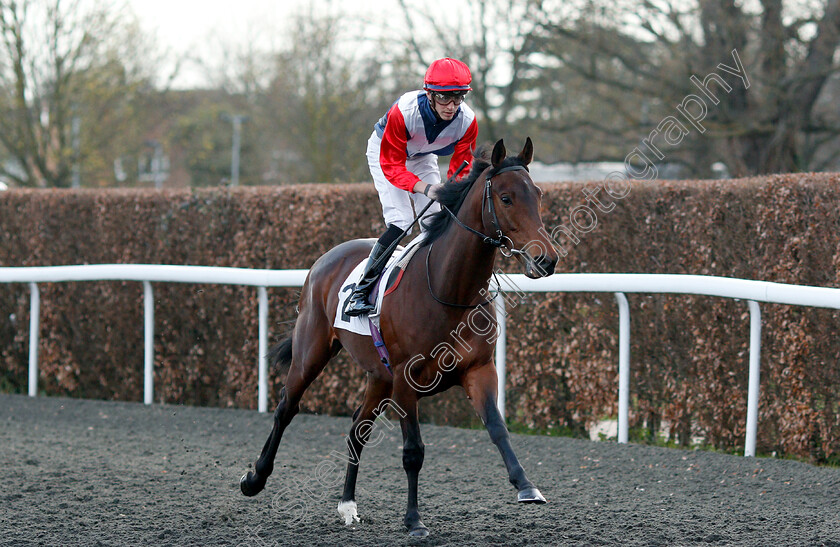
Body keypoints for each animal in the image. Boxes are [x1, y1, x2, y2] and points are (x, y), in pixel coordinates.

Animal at [240, 138, 560, 540]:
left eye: (538, 194)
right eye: (506, 198)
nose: (547, 259)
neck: (449, 289)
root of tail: (326, 258)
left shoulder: (479, 369)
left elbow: (498, 429)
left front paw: (526, 486)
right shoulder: (407, 380)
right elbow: (413, 451)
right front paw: (414, 520)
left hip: (379, 376)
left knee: (356, 431)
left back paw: (348, 505)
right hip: (311, 352)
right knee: (286, 408)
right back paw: (255, 479)